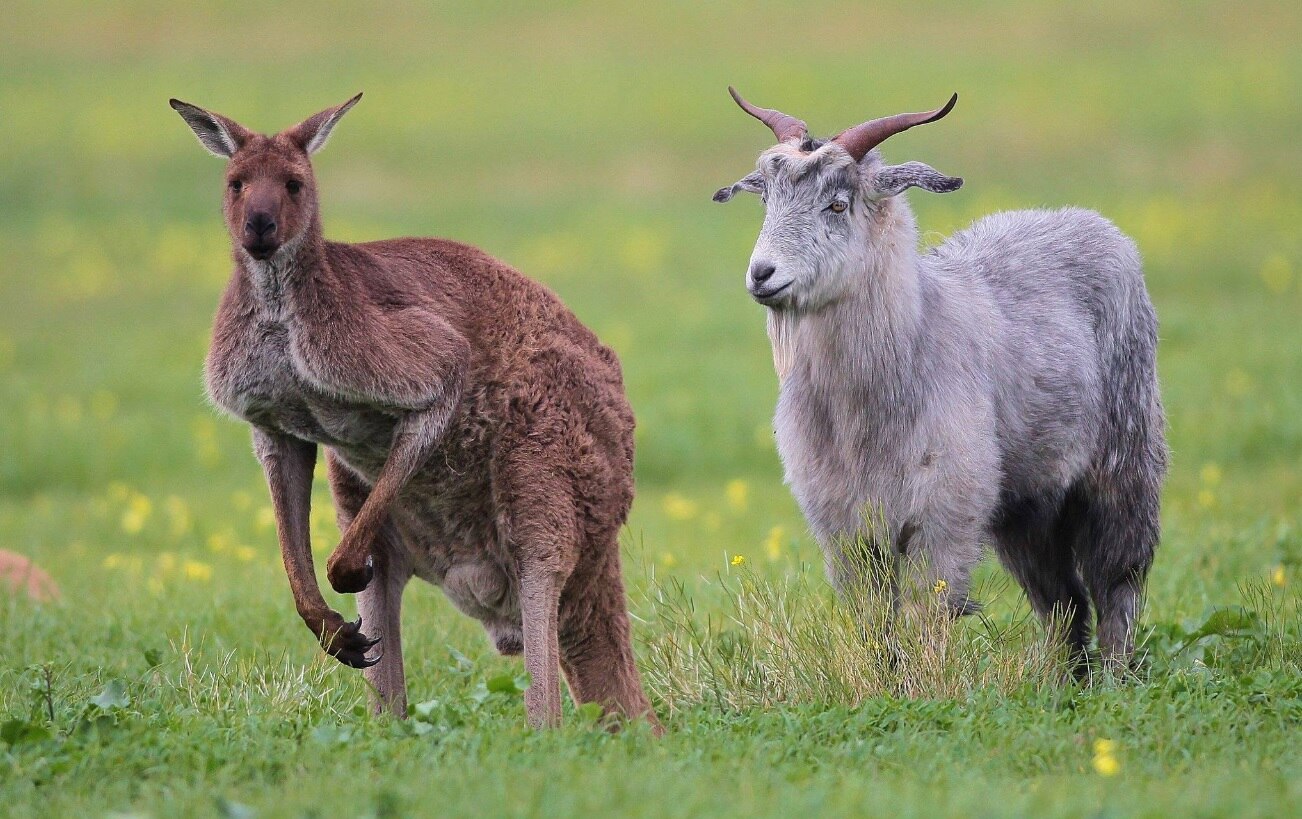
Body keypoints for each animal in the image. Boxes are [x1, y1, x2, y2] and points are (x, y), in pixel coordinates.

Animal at [170, 93, 657, 729]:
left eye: (295, 185)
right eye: (236, 184)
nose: (259, 228)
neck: (283, 310)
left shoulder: (422, 359)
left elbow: (438, 392)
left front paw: (342, 572)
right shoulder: (273, 424)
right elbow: (289, 527)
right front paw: (327, 623)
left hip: (543, 465)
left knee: (540, 582)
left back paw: (538, 729)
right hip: (359, 492)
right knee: (387, 613)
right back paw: (382, 711)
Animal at [714, 88, 1167, 672]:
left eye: (837, 203)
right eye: (766, 199)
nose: (762, 274)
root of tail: (1088, 222)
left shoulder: (944, 516)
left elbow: (928, 615)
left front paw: (926, 682)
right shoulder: (845, 528)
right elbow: (873, 622)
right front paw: (883, 682)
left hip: (1123, 463)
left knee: (1117, 579)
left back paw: (1113, 675)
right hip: (1027, 504)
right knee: (1061, 599)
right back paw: (1063, 677)